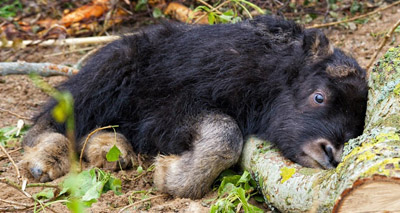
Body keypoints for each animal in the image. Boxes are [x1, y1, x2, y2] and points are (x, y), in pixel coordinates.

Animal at [20, 15, 368, 199]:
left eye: (359, 118)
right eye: (319, 96)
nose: (330, 153)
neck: (271, 73)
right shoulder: (167, 113)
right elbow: (225, 135)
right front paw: (170, 176)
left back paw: (109, 151)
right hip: (106, 74)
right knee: (48, 120)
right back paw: (45, 161)